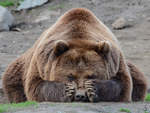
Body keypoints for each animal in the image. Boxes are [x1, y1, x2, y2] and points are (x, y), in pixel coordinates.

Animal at [2, 8, 148, 102]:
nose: (80, 96)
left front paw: (93, 88)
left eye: (91, 75)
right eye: (70, 76)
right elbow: (36, 85)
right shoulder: (41, 62)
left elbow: (123, 84)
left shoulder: (115, 60)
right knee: (12, 80)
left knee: (139, 79)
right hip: (19, 69)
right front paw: (67, 91)